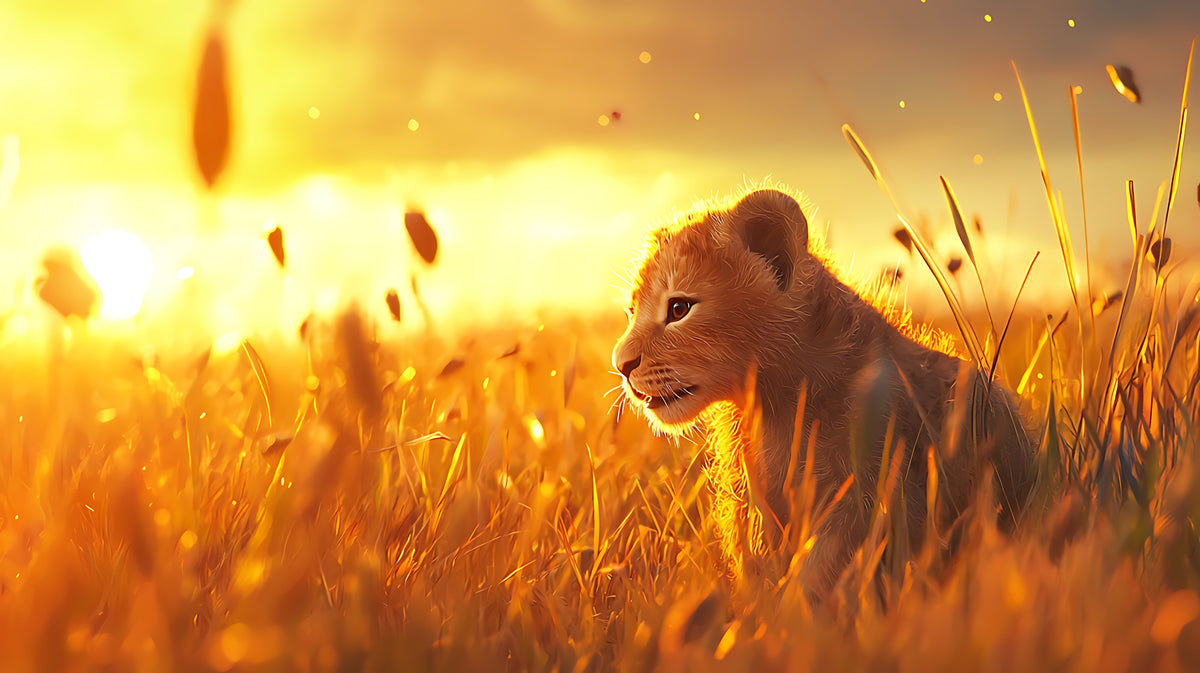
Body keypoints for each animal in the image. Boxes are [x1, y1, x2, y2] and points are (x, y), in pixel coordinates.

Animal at [612, 187, 1035, 599]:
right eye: (631, 311)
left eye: (679, 308)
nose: (621, 364)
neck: (776, 404)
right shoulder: (755, 505)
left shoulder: (873, 495)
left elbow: (821, 575)